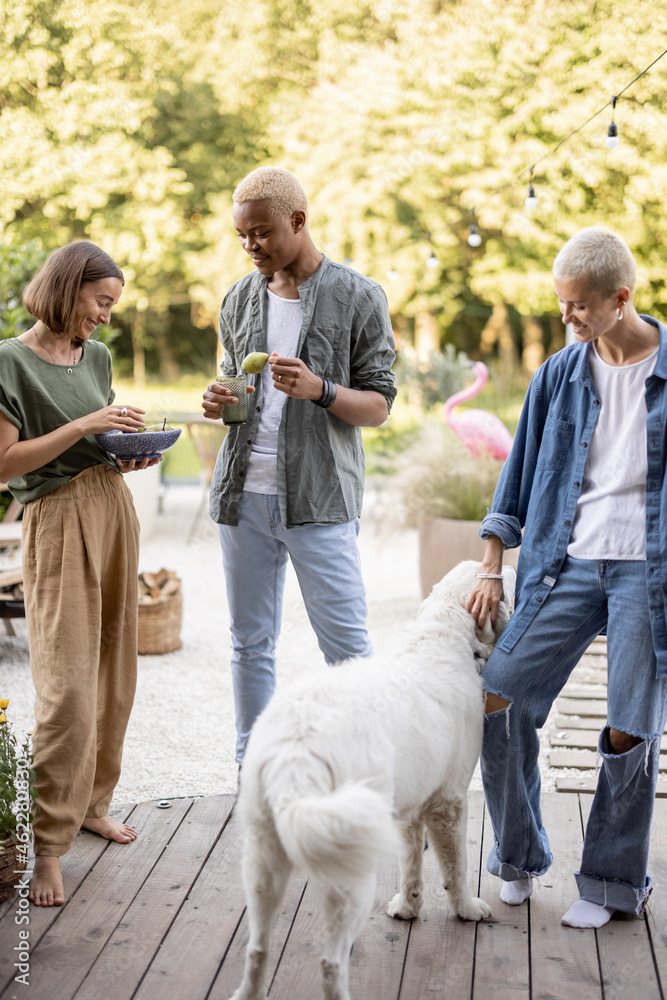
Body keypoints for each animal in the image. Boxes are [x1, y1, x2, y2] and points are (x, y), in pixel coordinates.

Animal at [230, 564, 516, 1000]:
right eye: (504, 580)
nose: (514, 567)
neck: (444, 632)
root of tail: (299, 749)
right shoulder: (449, 803)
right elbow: (456, 866)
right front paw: (466, 909)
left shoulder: (410, 809)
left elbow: (411, 863)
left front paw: (408, 906)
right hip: (349, 871)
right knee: (330, 961)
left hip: (265, 861)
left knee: (257, 949)